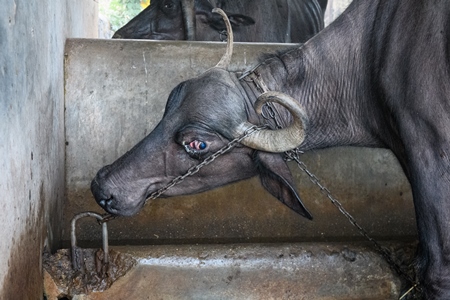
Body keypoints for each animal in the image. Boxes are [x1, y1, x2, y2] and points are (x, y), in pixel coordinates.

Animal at [93, 1, 450, 298]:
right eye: (167, 110)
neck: (367, 61)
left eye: (198, 143)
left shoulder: (430, 147)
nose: (102, 186)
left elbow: (435, 272)